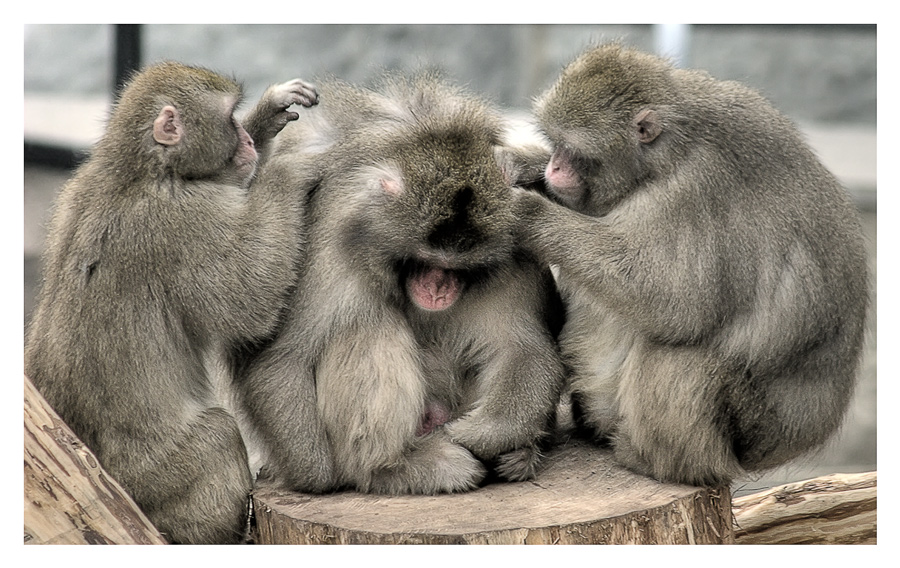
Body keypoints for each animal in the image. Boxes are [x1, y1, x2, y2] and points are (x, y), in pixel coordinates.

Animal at [24, 61, 318, 540]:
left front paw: (270, 113)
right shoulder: (182, 221)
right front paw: (290, 168)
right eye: (228, 118)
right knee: (217, 433)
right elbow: (249, 298)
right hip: (157, 481)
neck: (145, 168)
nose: (247, 139)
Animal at [239, 74, 564, 492]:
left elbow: (523, 349)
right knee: (367, 325)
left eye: (459, 266)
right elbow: (282, 356)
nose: (438, 289)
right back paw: (391, 468)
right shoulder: (327, 245)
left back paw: (517, 455)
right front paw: (315, 473)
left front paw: (480, 435)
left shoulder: (514, 251)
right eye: (423, 260)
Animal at [512, 44, 872, 486]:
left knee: (679, 357)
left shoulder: (689, 193)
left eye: (576, 152)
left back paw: (659, 462)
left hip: (747, 426)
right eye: (555, 144)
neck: (664, 157)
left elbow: (676, 304)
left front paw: (526, 212)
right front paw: (522, 166)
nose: (555, 167)